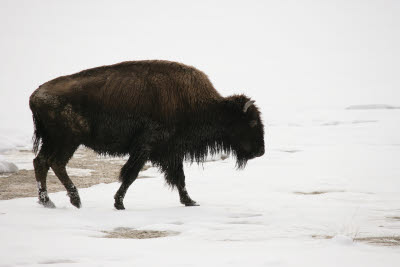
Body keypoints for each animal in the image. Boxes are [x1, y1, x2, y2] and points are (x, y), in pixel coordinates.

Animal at [28, 60, 266, 209]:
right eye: (252, 122)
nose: (261, 151)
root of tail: (35, 95)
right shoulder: (146, 147)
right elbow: (131, 174)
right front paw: (119, 203)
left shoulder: (171, 151)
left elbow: (179, 177)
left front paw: (190, 201)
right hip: (68, 140)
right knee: (56, 163)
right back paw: (75, 201)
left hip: (54, 140)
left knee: (41, 162)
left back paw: (47, 202)